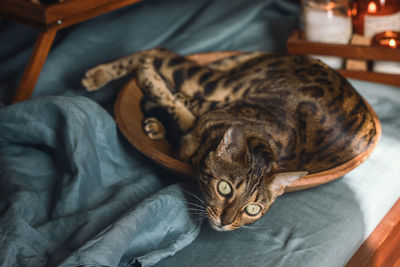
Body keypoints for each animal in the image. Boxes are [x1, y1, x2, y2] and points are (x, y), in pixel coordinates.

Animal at [82, 47, 378, 231]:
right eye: (224, 188)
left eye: (253, 209)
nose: (225, 222)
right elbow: (172, 99)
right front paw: (150, 87)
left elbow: (174, 108)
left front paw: (158, 118)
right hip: (215, 84)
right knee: (157, 53)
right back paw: (103, 75)